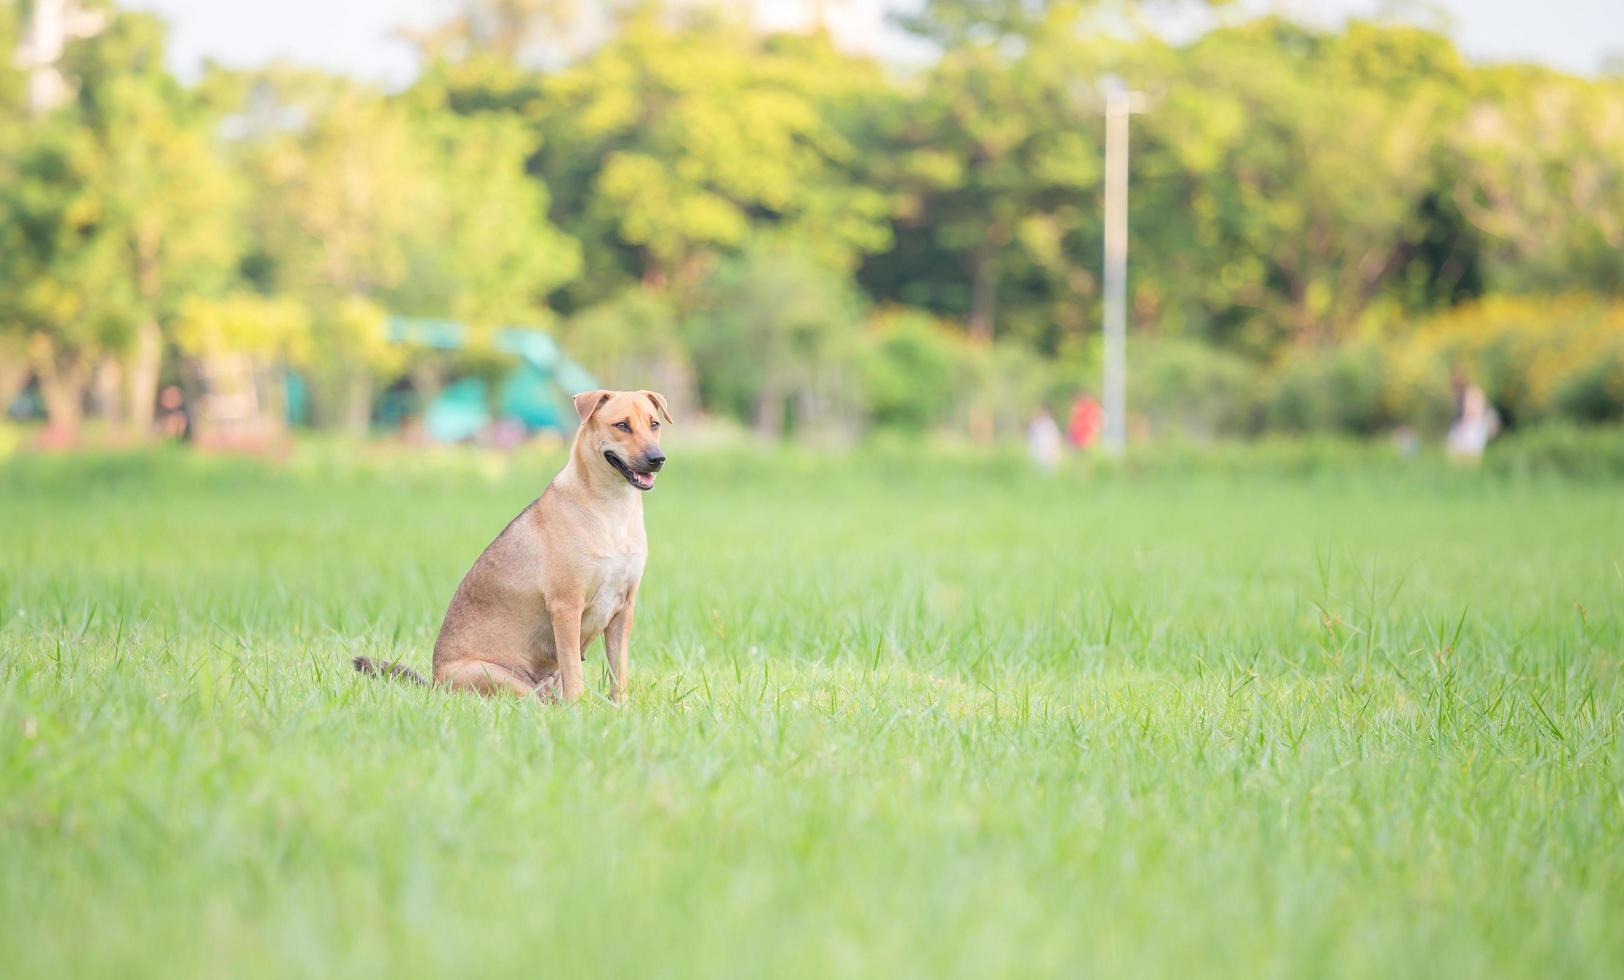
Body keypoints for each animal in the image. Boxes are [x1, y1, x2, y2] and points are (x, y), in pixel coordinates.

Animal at [358, 391, 669, 705]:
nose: (657, 459)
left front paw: (621, 709)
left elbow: (619, 672)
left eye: (654, 424)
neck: (612, 508)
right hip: (498, 677)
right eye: (622, 425)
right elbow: (573, 670)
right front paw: (579, 709)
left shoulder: (623, 608)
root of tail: (434, 684)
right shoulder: (566, 607)